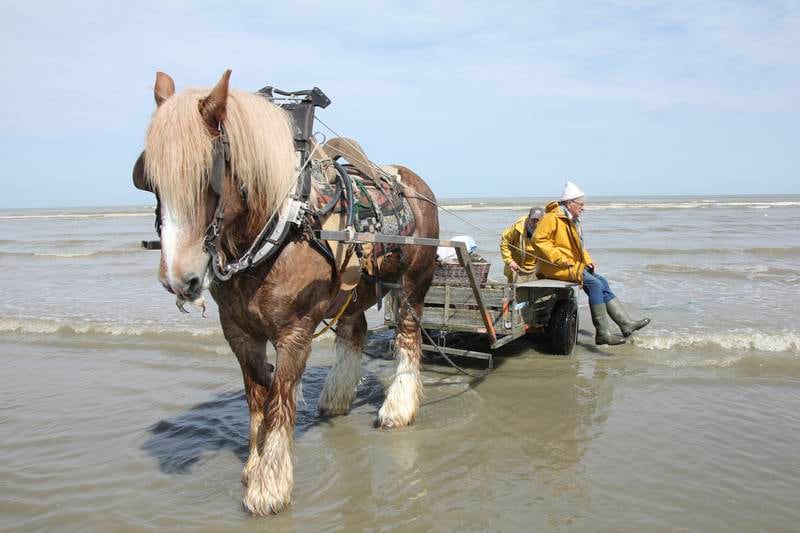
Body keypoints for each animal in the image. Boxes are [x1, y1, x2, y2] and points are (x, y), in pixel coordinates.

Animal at [134, 68, 440, 512]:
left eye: (208, 176)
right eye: (150, 181)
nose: (180, 277)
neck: (283, 227)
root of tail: (415, 182)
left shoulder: (294, 333)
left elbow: (279, 402)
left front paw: (270, 484)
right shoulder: (238, 332)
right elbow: (257, 400)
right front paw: (253, 467)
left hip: (413, 286)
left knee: (408, 338)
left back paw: (398, 408)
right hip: (354, 291)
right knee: (354, 332)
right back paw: (336, 398)